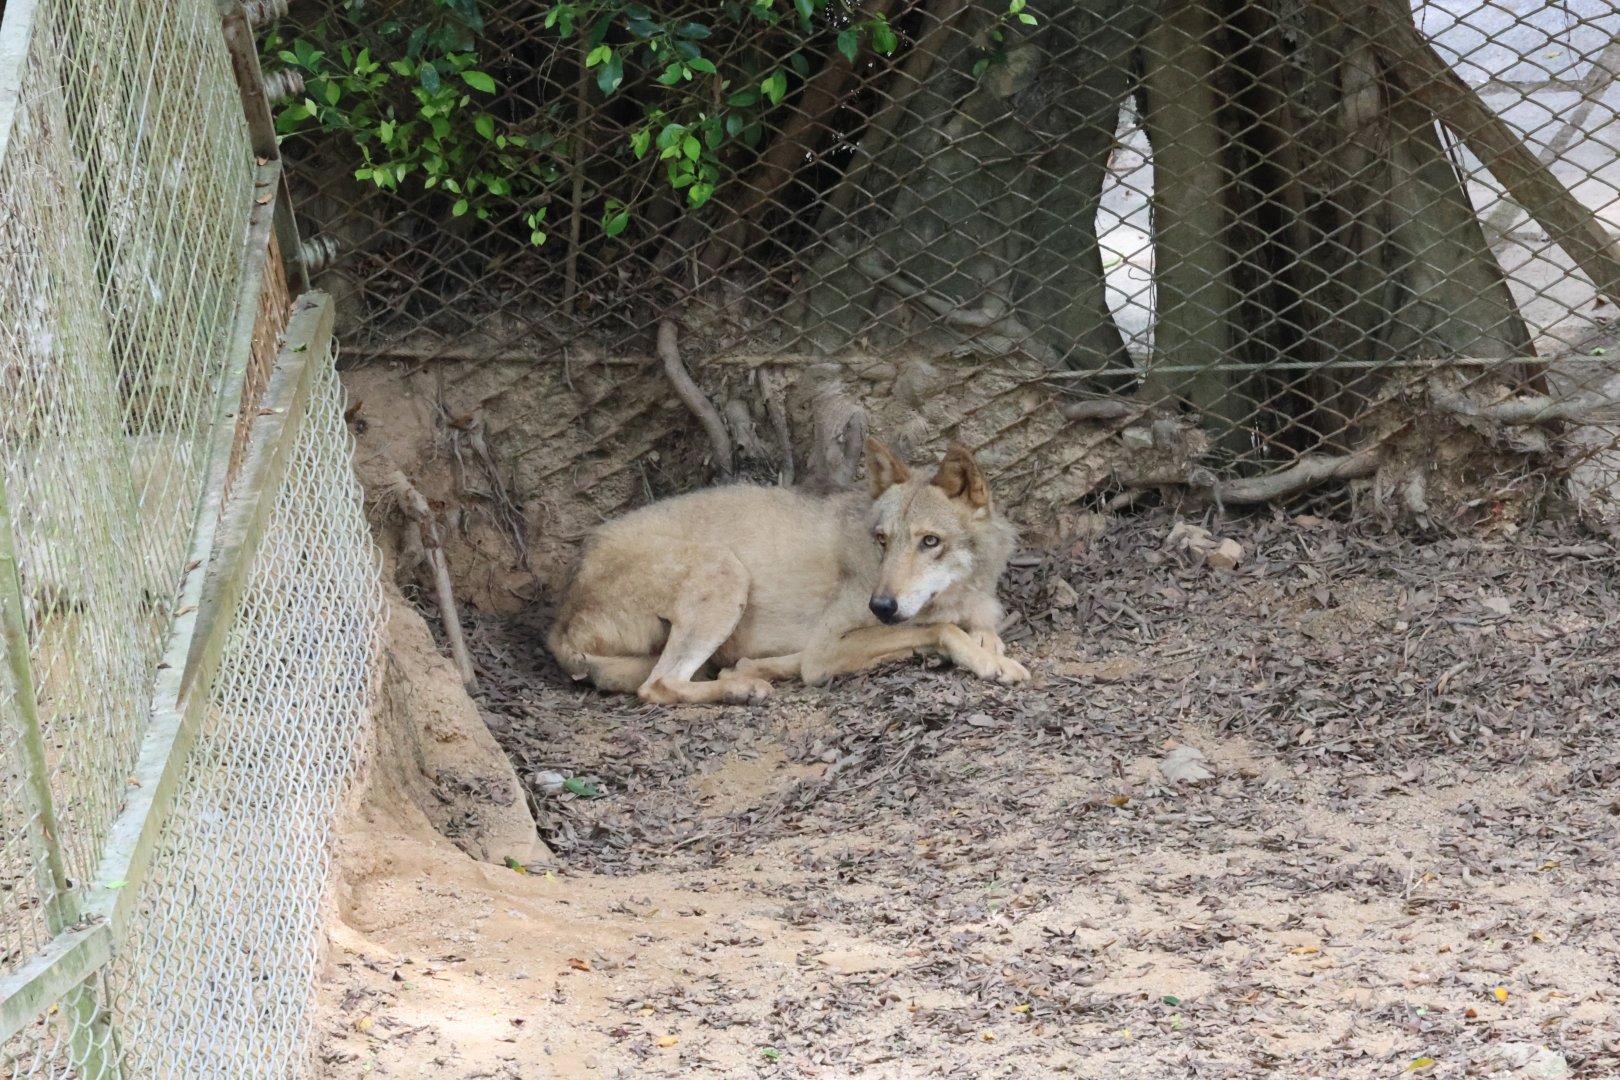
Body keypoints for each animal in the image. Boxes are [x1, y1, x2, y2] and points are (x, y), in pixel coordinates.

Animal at [546, 438, 1030, 705]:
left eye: (929, 541)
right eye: (882, 540)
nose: (881, 606)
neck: (959, 591)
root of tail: (558, 619)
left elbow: (979, 626)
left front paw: (987, 643)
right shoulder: (827, 647)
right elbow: (943, 630)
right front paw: (991, 662)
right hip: (725, 571)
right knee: (658, 684)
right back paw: (743, 689)